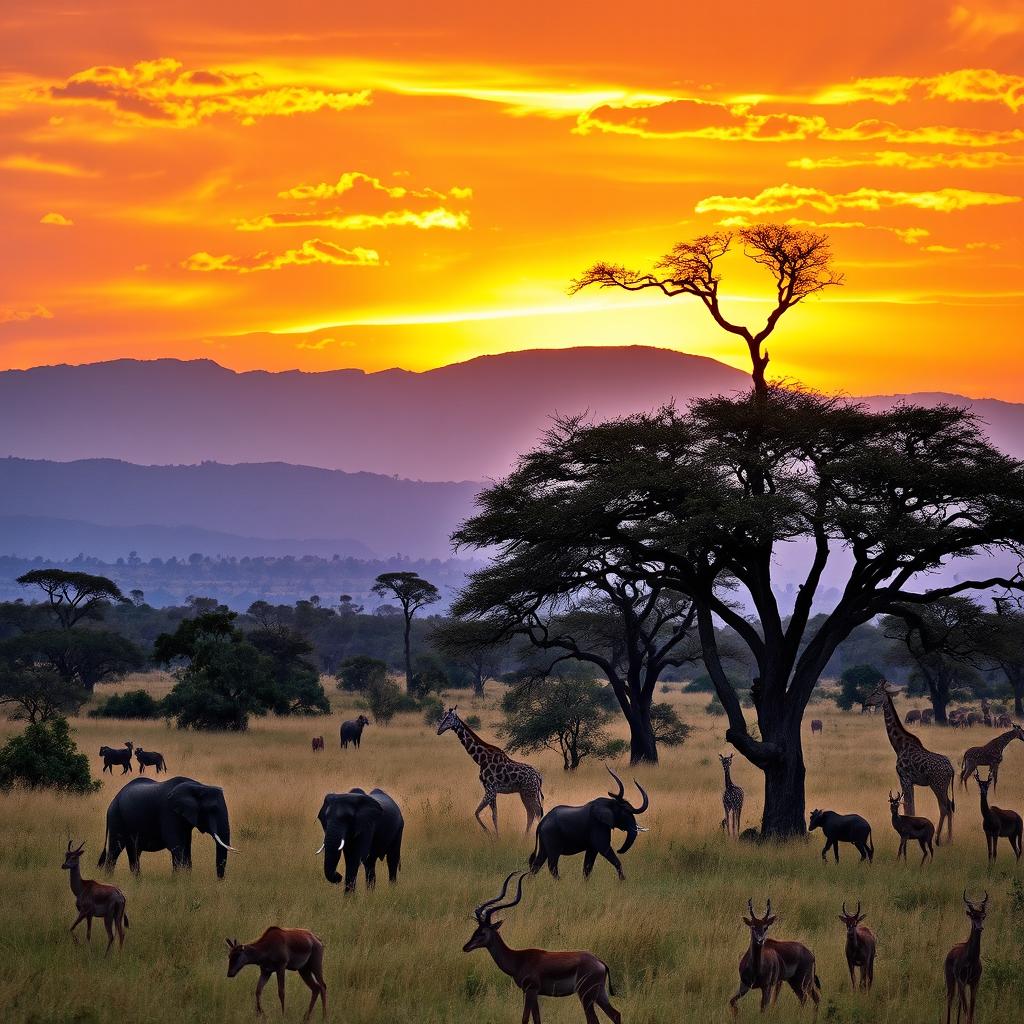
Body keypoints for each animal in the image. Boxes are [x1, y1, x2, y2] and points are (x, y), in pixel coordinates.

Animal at [97, 774, 235, 880]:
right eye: (212, 809)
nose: (219, 881)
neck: (199, 787)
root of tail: (113, 800)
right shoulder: (169, 812)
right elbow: (176, 845)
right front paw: (178, 881)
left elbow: (186, 847)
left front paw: (185, 880)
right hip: (116, 816)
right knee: (115, 849)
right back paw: (109, 879)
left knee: (133, 852)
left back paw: (137, 881)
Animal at [466, 872, 622, 1024]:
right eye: (476, 929)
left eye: (482, 932)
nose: (465, 947)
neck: (518, 959)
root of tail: (600, 962)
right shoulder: (533, 994)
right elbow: (537, 1019)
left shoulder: (530, 991)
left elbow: (525, 1019)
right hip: (600, 994)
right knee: (616, 1014)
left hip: (586, 996)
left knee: (594, 1020)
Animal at [868, 684, 954, 843]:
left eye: (877, 692)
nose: (866, 701)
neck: (899, 745)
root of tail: (951, 769)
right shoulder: (910, 781)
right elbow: (910, 807)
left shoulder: (905, 778)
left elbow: (909, 808)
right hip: (944, 786)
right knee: (949, 806)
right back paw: (949, 838)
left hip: (937, 784)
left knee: (944, 807)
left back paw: (938, 838)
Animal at [942, 888, 983, 1024]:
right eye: (973, 916)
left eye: (983, 916)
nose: (979, 927)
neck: (971, 959)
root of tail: (951, 951)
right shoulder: (961, 980)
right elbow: (966, 1009)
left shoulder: (975, 982)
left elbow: (971, 1011)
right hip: (951, 979)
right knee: (950, 998)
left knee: (959, 1002)